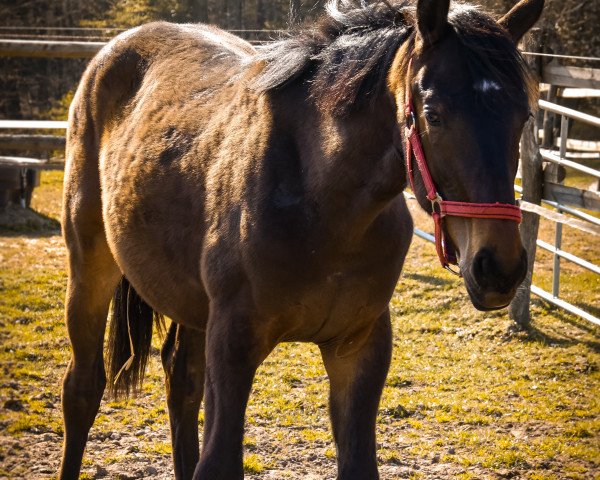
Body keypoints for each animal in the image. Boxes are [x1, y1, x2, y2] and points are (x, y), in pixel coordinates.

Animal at [59, 0, 544, 476]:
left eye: (523, 115)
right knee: (83, 389)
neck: (323, 206)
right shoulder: (232, 346)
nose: (499, 267)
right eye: (434, 114)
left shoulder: (358, 348)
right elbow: (218, 462)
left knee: (181, 384)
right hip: (91, 269)